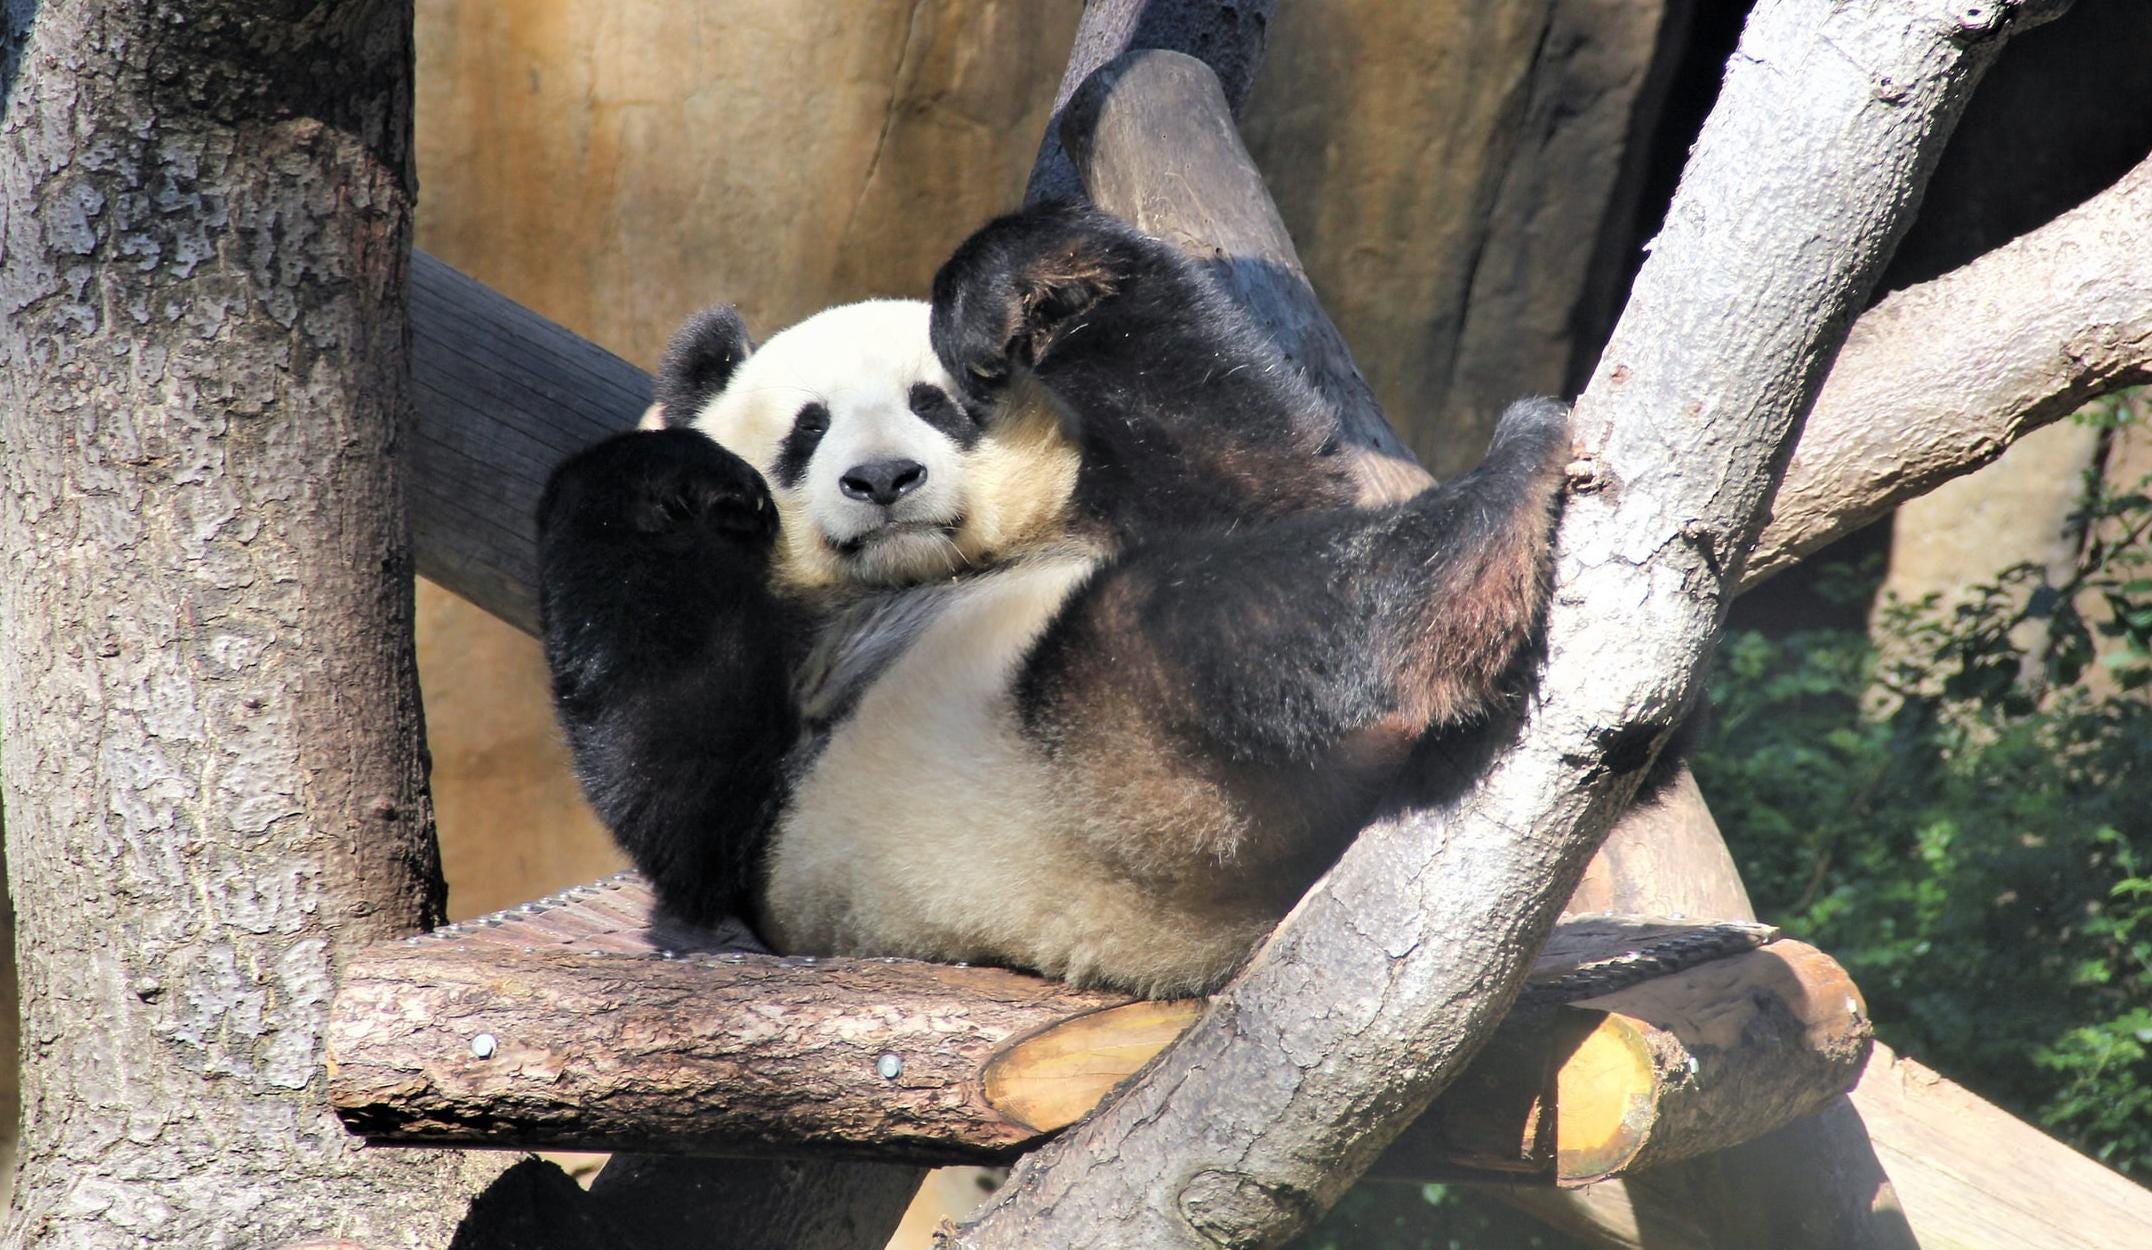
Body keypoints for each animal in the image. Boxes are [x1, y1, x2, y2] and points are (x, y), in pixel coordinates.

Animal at [537, 202, 1572, 998]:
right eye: (809, 429)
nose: (884, 480)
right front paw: (677, 482)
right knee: (1193, 626)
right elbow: (690, 803)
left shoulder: (1114, 500)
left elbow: (1263, 477)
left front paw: (1015, 293)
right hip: (1123, 790)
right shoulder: (781, 762)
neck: (932, 572)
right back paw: (1492, 514)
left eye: (939, 404)